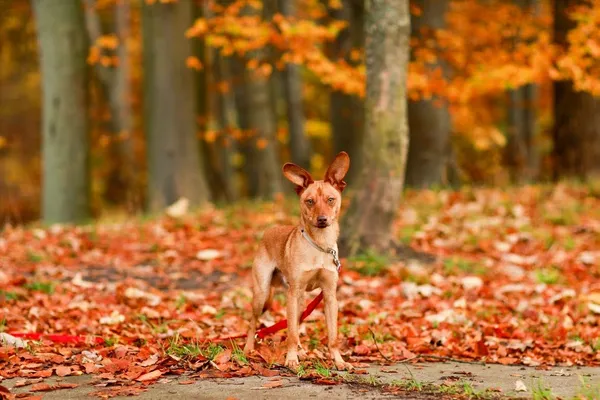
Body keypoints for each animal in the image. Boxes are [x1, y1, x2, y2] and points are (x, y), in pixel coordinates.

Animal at [243, 152, 352, 370]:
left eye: (331, 199)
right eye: (309, 201)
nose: (322, 219)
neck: (320, 245)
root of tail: (269, 231)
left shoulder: (330, 296)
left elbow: (333, 336)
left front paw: (339, 361)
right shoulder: (293, 294)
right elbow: (292, 332)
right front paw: (291, 359)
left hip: (300, 300)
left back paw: (302, 350)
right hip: (264, 293)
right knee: (253, 323)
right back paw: (248, 349)